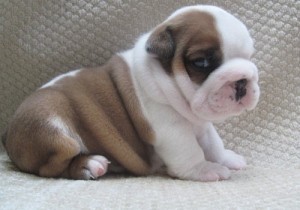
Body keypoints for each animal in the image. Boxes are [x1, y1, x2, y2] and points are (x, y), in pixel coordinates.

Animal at [2, 5, 258, 182]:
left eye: (250, 57)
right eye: (201, 62)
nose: (242, 81)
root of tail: (8, 133)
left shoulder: (201, 125)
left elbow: (213, 143)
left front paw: (226, 158)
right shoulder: (171, 128)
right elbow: (189, 150)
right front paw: (205, 169)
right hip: (53, 127)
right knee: (53, 167)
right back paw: (89, 164)